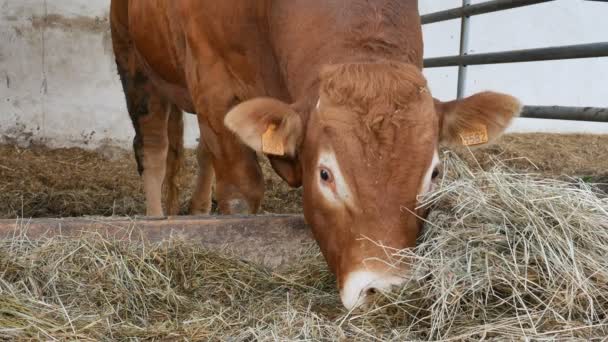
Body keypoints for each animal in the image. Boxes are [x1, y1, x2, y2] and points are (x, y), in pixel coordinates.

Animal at [109, 0, 516, 308]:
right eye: (325, 174)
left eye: (434, 174)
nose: (385, 291)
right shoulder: (213, 85)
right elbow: (242, 193)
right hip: (134, 64)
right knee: (154, 148)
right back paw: (155, 217)